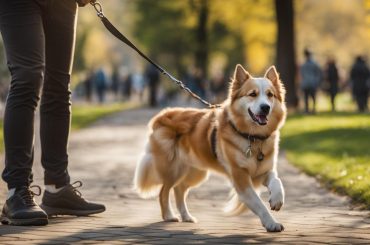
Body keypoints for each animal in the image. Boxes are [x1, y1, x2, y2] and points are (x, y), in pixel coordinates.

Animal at [134, 64, 288, 232]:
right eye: (253, 94)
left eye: (270, 95)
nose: (265, 107)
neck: (252, 137)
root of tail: (162, 115)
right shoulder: (240, 177)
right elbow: (259, 204)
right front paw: (271, 223)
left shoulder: (262, 172)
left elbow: (277, 181)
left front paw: (277, 200)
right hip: (172, 169)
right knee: (164, 192)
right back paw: (169, 215)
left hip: (195, 173)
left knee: (179, 189)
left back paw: (186, 216)